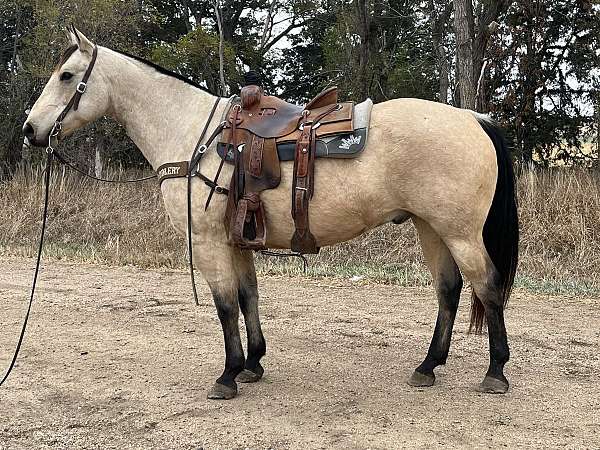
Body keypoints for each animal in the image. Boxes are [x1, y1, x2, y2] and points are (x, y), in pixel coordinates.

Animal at [23, 29, 516, 400]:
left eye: (67, 75)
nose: (30, 130)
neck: (194, 134)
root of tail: (473, 118)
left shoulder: (208, 241)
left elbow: (224, 304)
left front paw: (227, 375)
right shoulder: (236, 238)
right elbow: (247, 296)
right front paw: (252, 364)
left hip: (459, 232)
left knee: (488, 287)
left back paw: (495, 372)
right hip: (431, 228)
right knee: (449, 290)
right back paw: (428, 366)